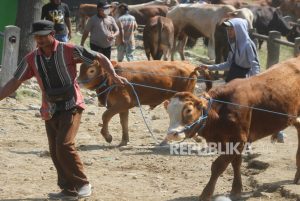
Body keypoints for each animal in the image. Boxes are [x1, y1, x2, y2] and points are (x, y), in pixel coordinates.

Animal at [76, 59, 210, 146]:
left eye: (91, 70)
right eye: (81, 68)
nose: (78, 81)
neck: (112, 78)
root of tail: (190, 66)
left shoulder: (123, 103)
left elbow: (105, 115)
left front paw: (108, 137)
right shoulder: (123, 107)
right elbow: (123, 122)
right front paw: (124, 140)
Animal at [163, 55, 300, 201]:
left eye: (188, 110)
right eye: (169, 111)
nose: (172, 133)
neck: (221, 109)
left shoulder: (239, 140)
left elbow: (218, 166)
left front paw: (206, 194)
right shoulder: (229, 142)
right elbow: (236, 163)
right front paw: (236, 189)